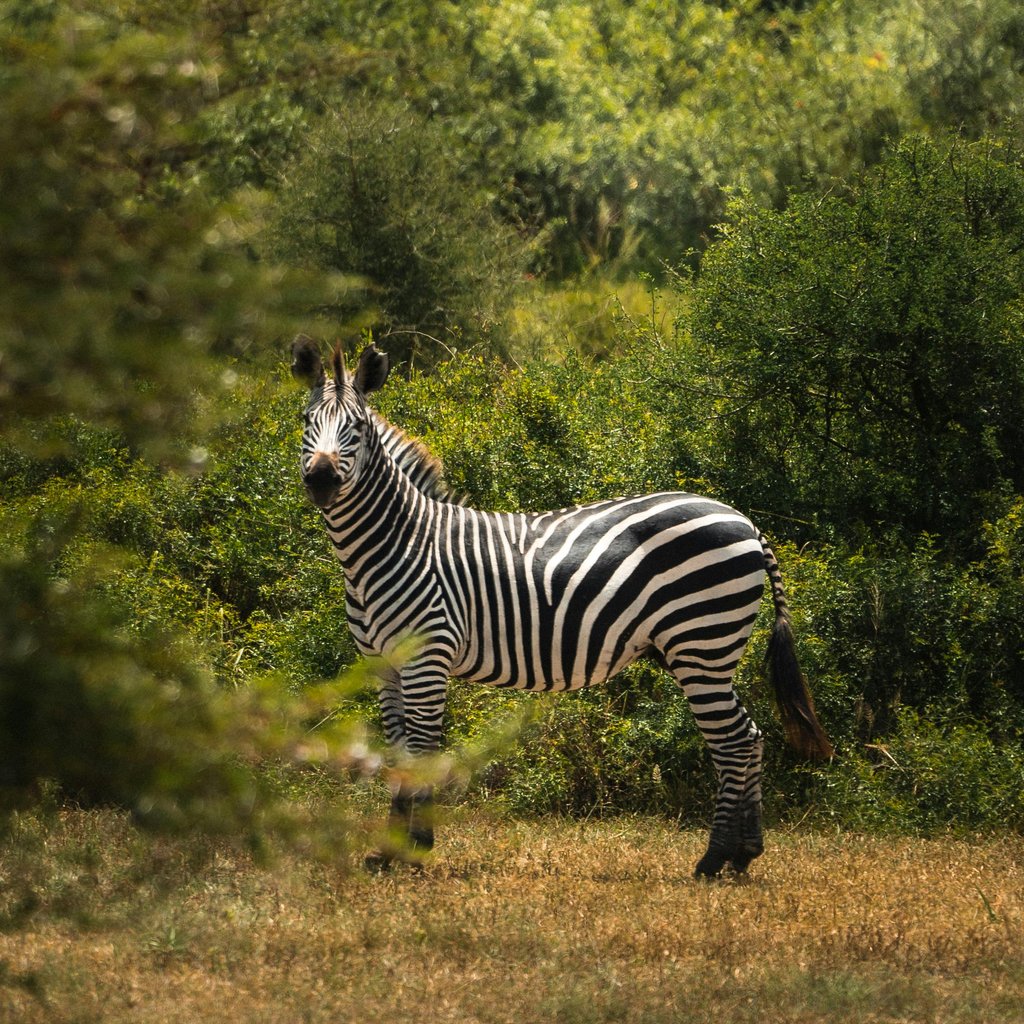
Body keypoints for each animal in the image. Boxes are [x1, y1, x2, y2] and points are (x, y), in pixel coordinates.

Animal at [290, 335, 833, 877]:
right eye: (306, 419)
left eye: (358, 428)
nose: (320, 479)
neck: (393, 545)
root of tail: (745, 521)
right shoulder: (382, 665)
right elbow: (398, 753)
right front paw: (389, 851)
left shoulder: (427, 656)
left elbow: (422, 752)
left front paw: (418, 847)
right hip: (703, 650)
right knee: (750, 736)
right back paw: (743, 854)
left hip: (701, 641)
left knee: (733, 742)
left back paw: (714, 858)